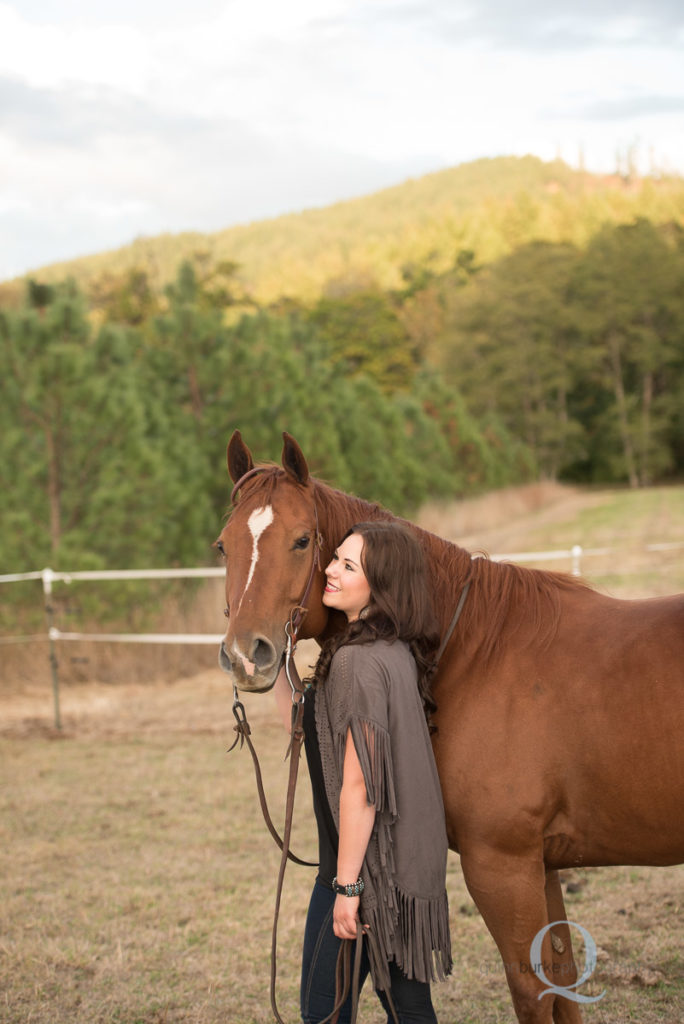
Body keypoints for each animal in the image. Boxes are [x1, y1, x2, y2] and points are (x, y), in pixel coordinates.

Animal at [218, 432, 684, 1024]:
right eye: (223, 546)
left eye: (302, 541)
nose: (244, 655)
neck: (477, 652)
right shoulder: (542, 864)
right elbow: (562, 978)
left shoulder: (503, 869)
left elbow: (534, 987)